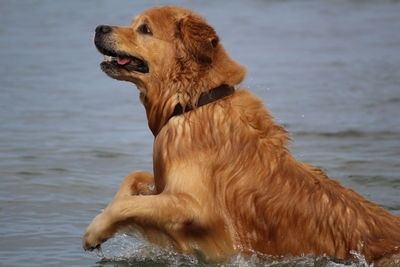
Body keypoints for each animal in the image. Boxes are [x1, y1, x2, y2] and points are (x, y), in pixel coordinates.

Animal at [82, 5, 400, 266]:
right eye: (133, 22)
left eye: (144, 29)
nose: (99, 27)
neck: (193, 102)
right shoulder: (166, 185)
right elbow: (133, 178)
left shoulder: (196, 207)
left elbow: (129, 203)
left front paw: (94, 230)